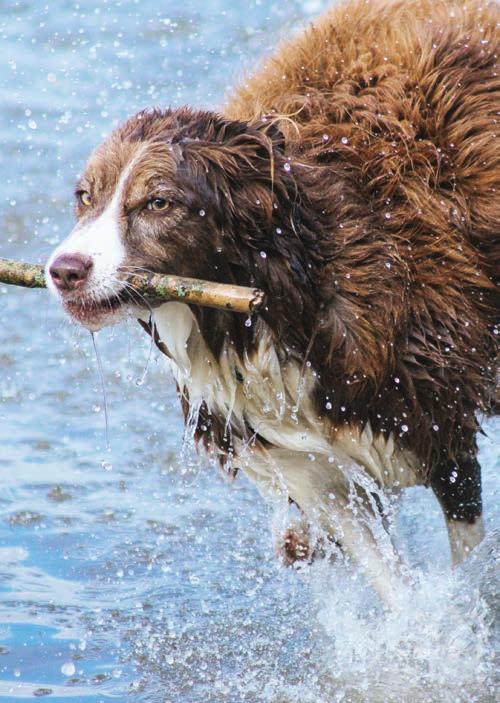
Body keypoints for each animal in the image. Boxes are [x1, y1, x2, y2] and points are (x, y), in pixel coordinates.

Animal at [45, 0, 498, 604]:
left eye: (158, 202)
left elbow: (464, 571)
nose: (64, 271)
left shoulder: (438, 424)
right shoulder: (310, 467)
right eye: (84, 197)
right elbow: (388, 581)